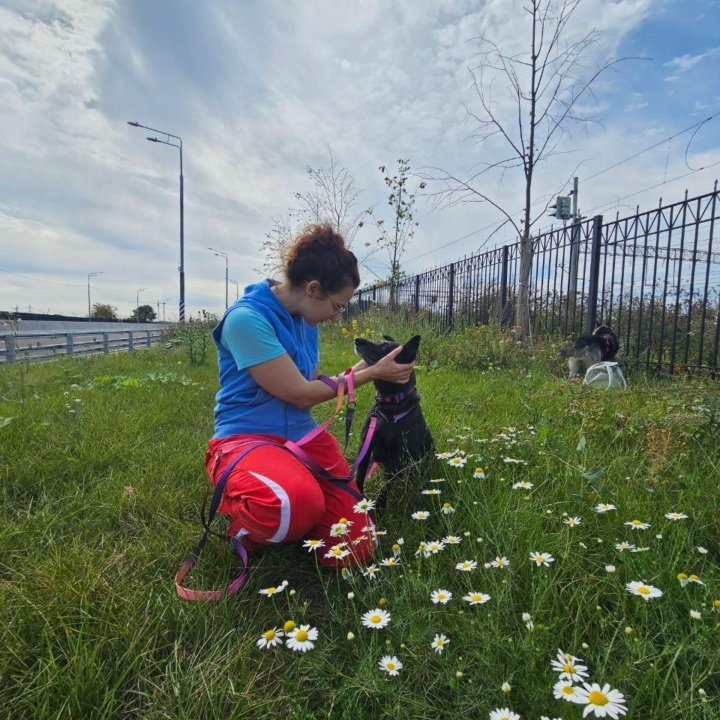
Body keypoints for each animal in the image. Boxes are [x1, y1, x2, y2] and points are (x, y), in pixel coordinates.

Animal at [352, 334, 434, 510]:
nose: (357, 340)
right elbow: (360, 475)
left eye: (384, 347)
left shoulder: (397, 456)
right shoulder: (366, 445)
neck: (390, 405)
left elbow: (386, 486)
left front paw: (379, 507)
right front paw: (360, 500)